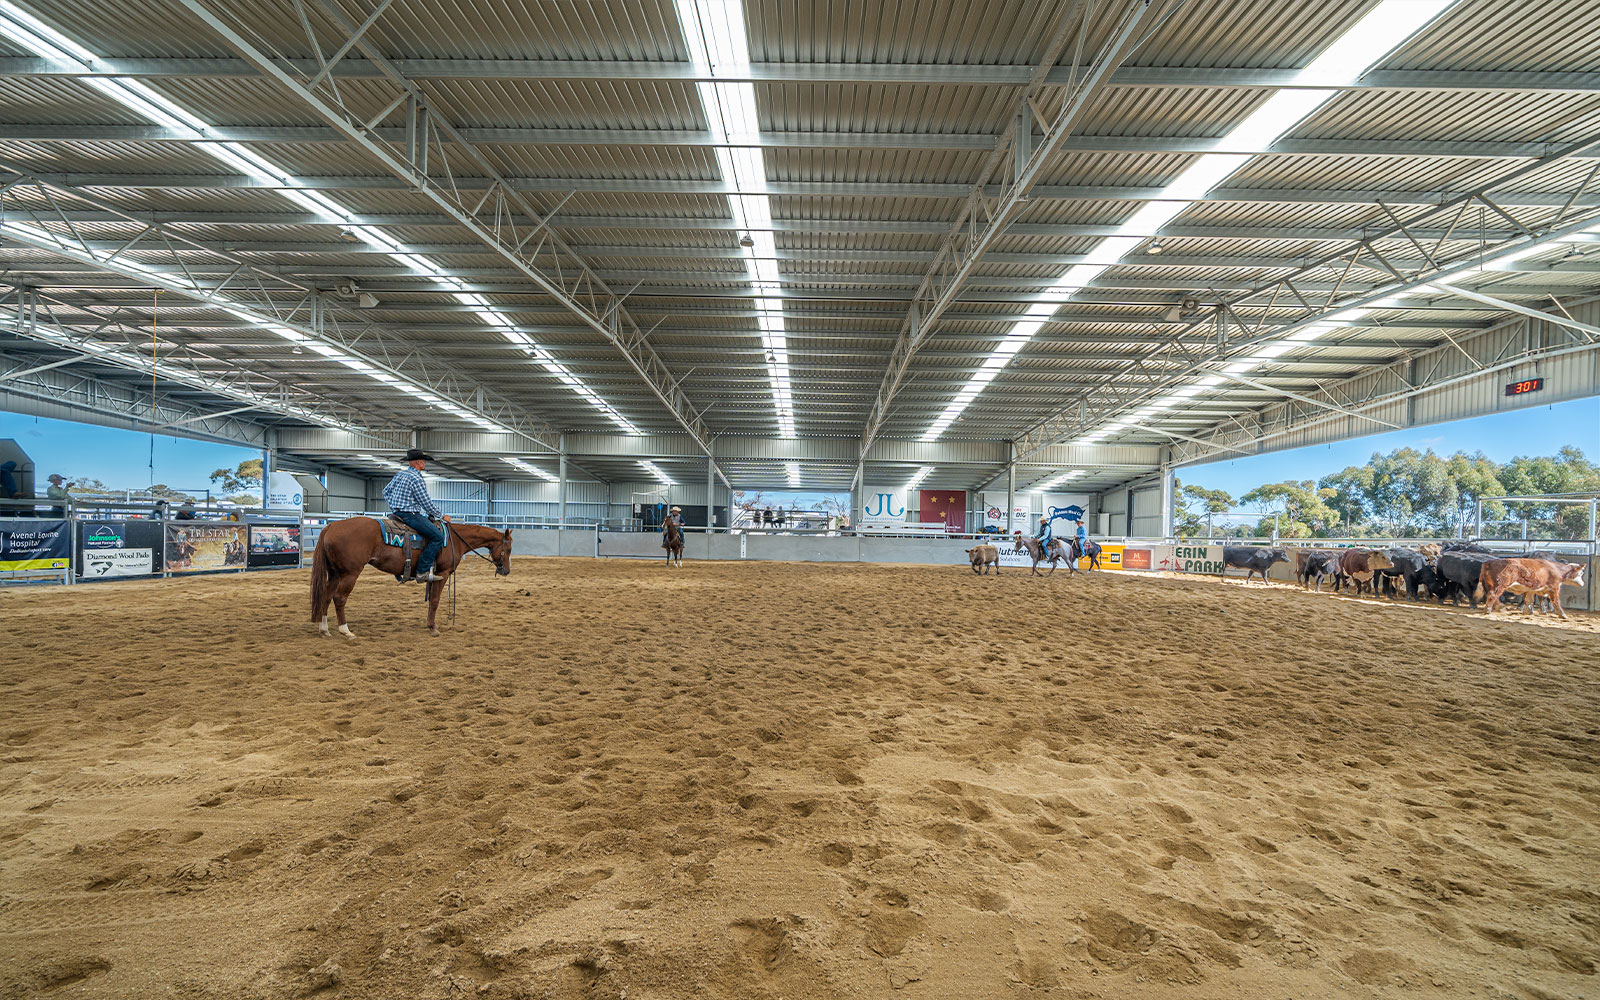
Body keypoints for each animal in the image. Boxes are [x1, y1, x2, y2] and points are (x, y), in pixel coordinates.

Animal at [308, 518, 508, 636]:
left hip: (335, 573)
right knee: (339, 598)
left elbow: (431, 601)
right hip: (350, 573)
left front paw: (429, 624)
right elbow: (435, 601)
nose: (506, 570)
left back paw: (324, 628)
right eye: (508, 549)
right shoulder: (442, 574)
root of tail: (331, 525)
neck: (455, 539)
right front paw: (433, 628)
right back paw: (345, 630)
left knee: (326, 596)